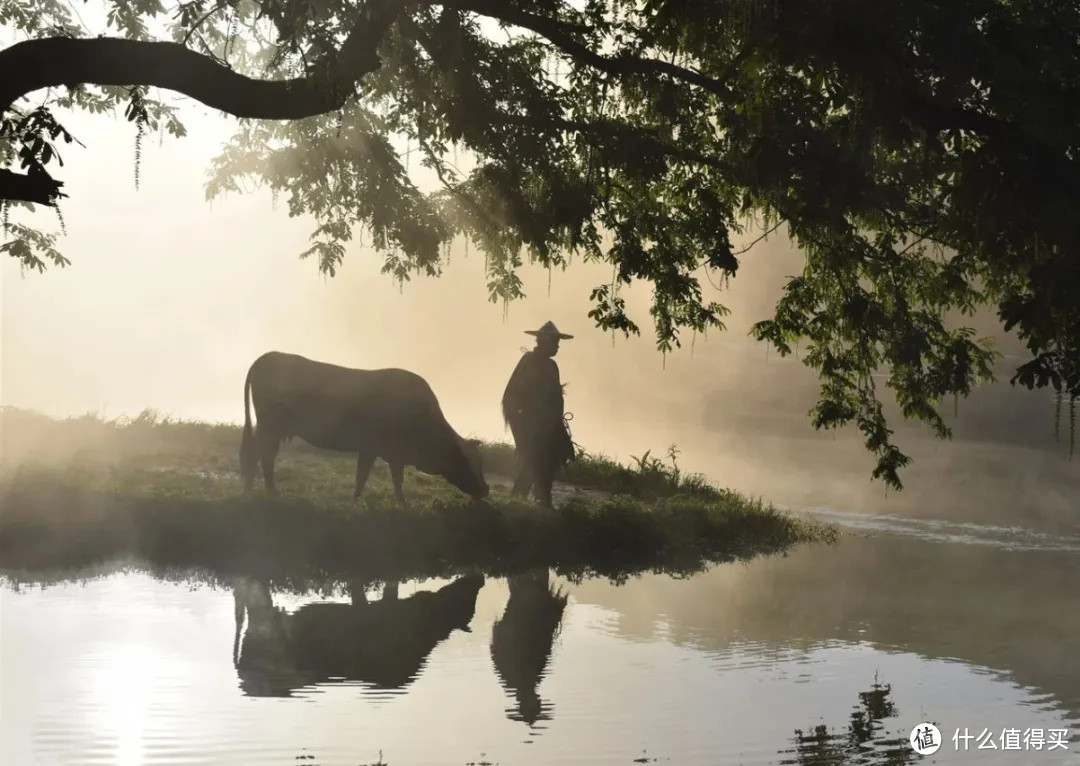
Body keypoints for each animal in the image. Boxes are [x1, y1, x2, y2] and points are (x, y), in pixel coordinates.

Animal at [240, 350, 490, 501]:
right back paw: (268, 492)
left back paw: (253, 489)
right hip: (270, 428)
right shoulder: (374, 448)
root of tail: (268, 356)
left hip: (268, 429)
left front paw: (399, 502)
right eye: (468, 461)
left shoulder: (391, 454)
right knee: (261, 455)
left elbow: (394, 480)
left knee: (256, 454)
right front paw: (358, 501)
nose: (485, 489)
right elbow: (364, 476)